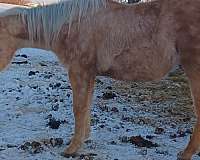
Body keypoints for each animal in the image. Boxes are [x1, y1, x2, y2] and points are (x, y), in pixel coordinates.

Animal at [0, 0, 199, 159]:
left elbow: (79, 108)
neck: (69, 27)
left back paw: (185, 154)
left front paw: (72, 149)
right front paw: (84, 138)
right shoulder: (89, 74)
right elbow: (87, 105)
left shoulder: (79, 72)